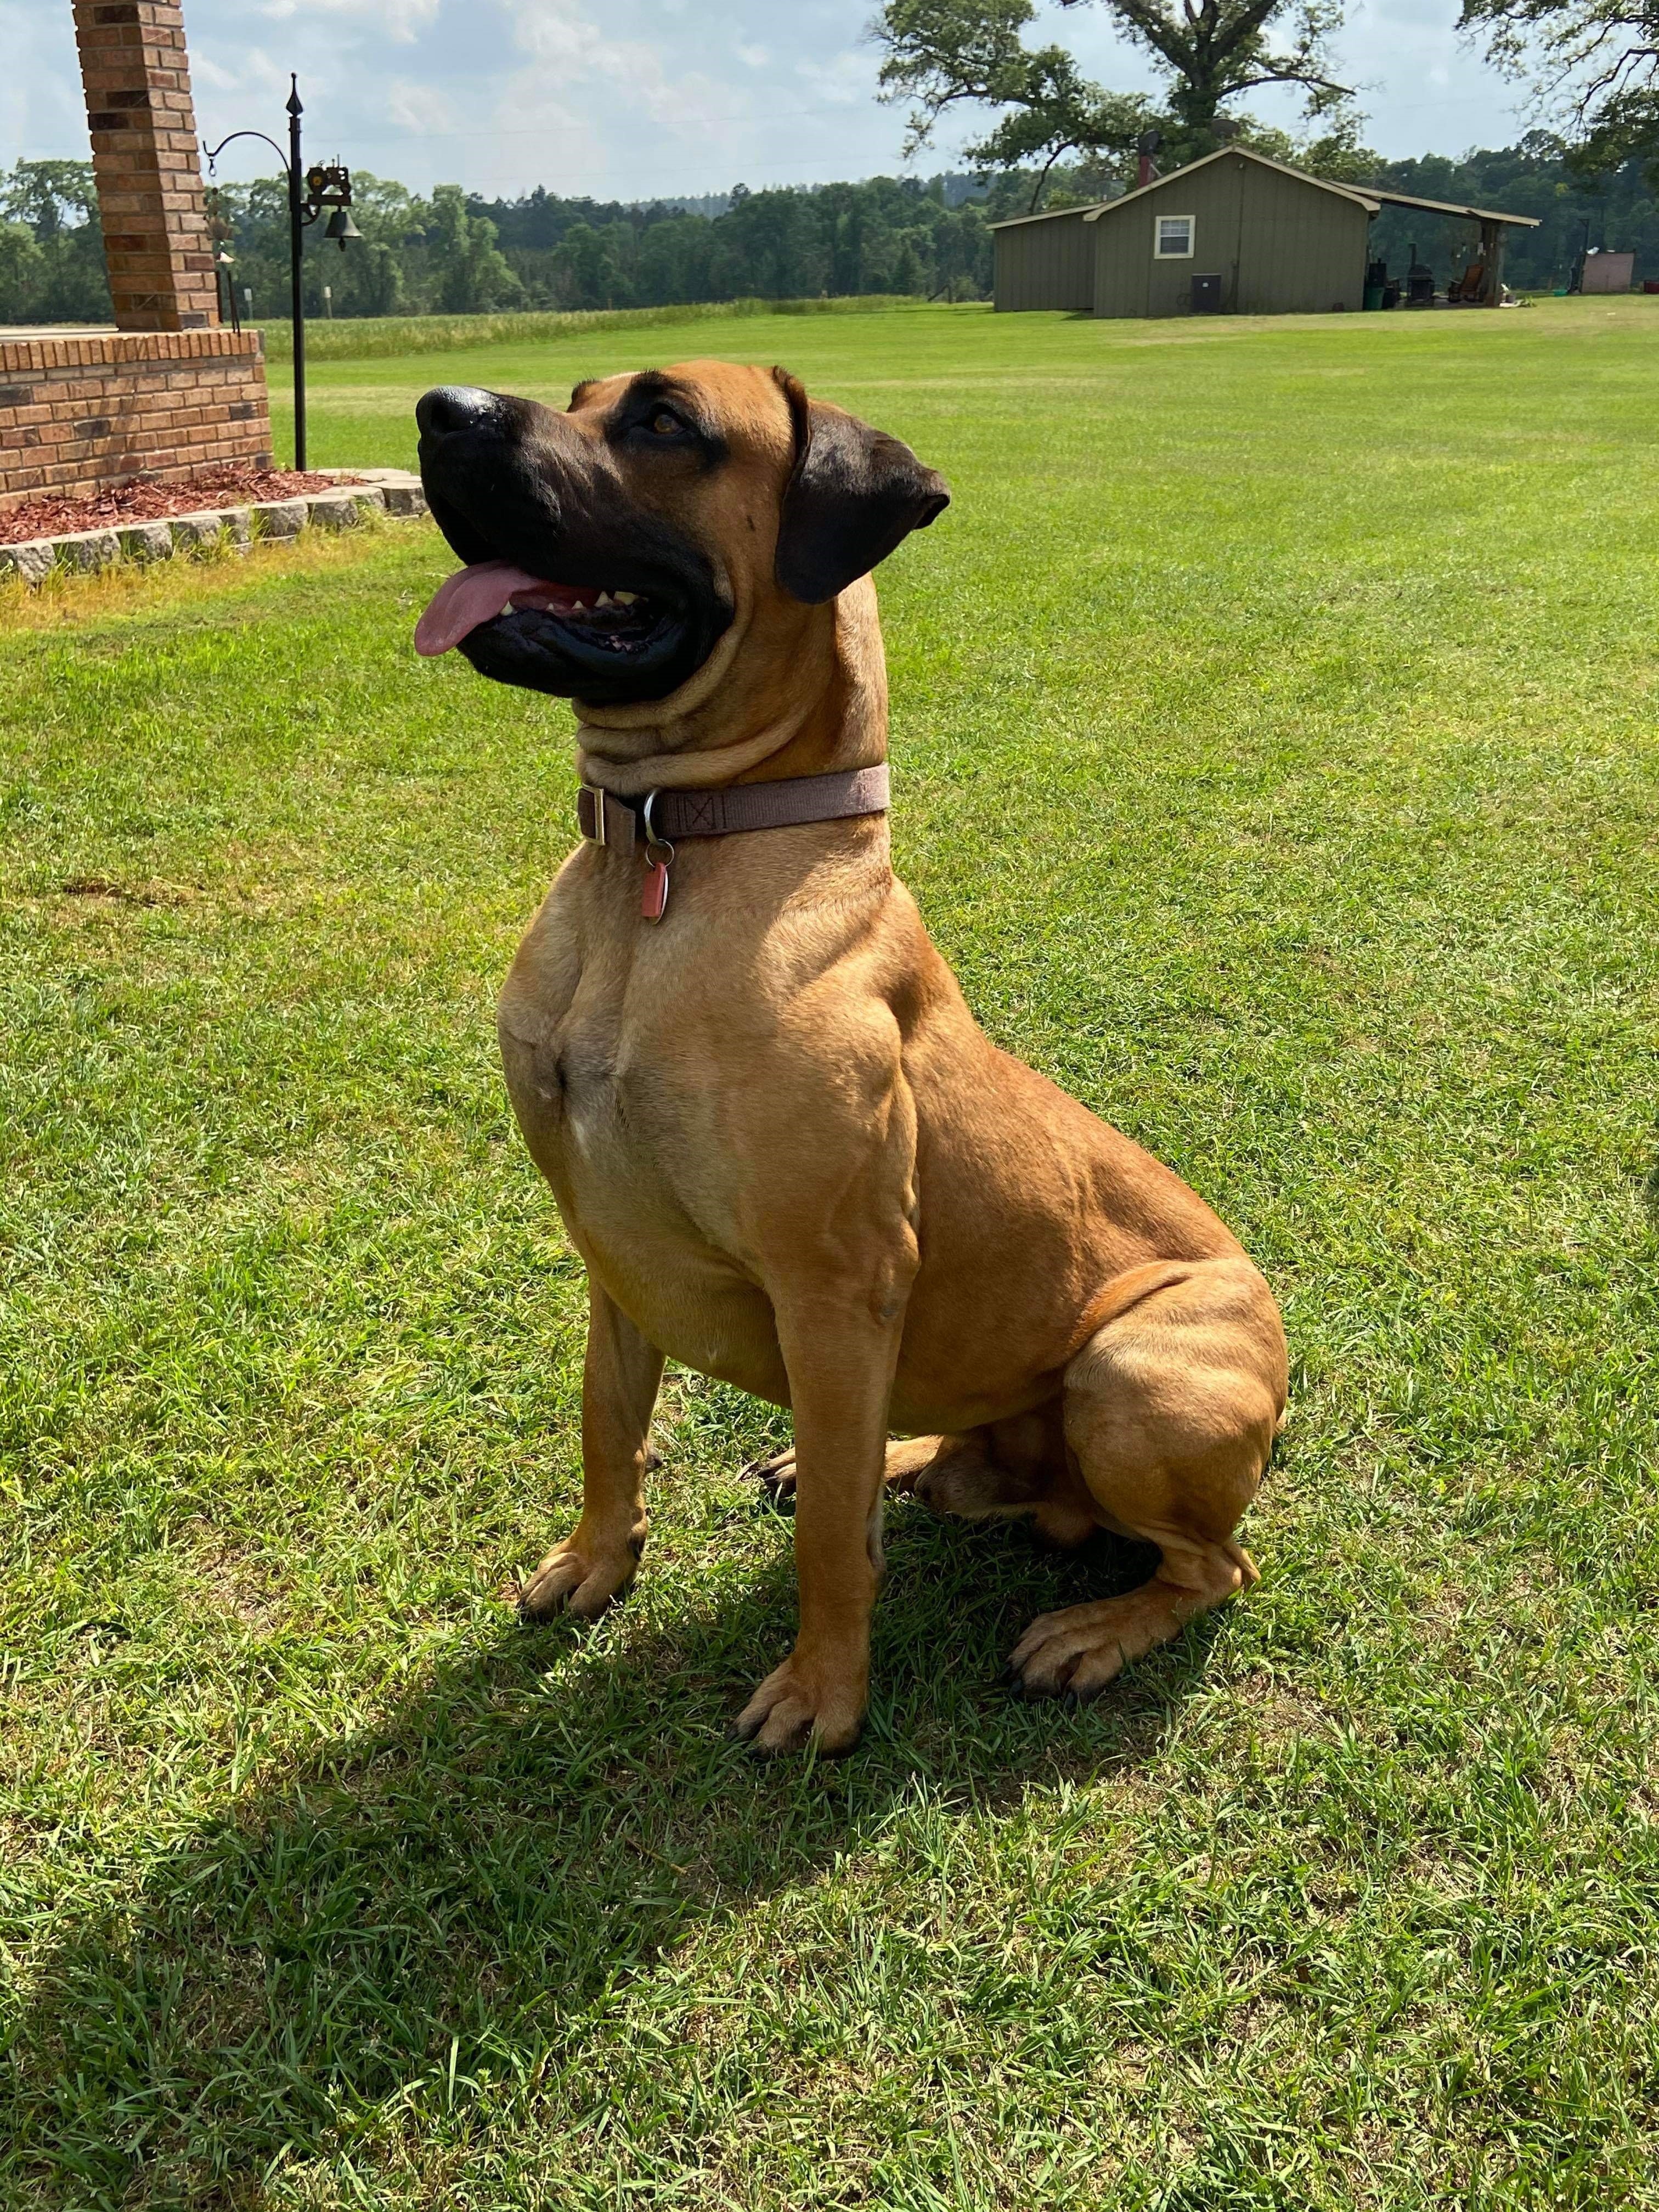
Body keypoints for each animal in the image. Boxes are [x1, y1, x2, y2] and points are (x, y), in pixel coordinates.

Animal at [413, 363, 1283, 1752]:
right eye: (581, 394)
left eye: (663, 420)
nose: (440, 410)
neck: (658, 863)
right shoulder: (612, 1254)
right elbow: (609, 1422)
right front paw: (598, 1558)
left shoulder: (835, 1284)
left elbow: (831, 1534)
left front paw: (822, 1692)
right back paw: (922, 1462)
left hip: (1132, 1373)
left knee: (1213, 1566)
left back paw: (1092, 1630)